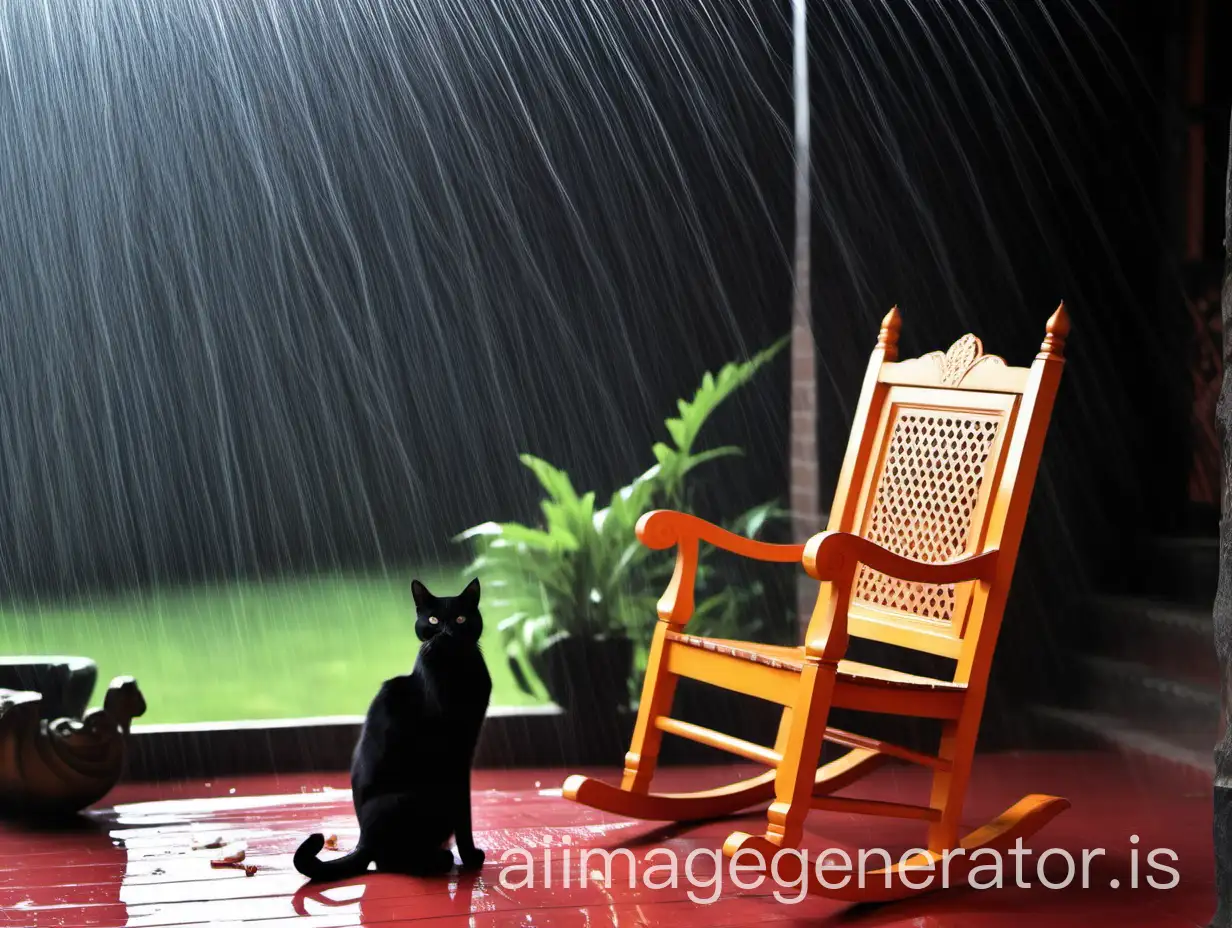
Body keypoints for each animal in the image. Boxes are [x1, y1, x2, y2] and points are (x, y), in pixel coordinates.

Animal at [293, 576, 490, 877]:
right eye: (433, 619)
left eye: (460, 618)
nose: (445, 633)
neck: (455, 672)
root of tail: (363, 842)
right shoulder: (455, 755)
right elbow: (463, 814)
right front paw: (470, 857)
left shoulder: (468, 745)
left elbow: (464, 810)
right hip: (411, 798)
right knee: (389, 862)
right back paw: (437, 860)